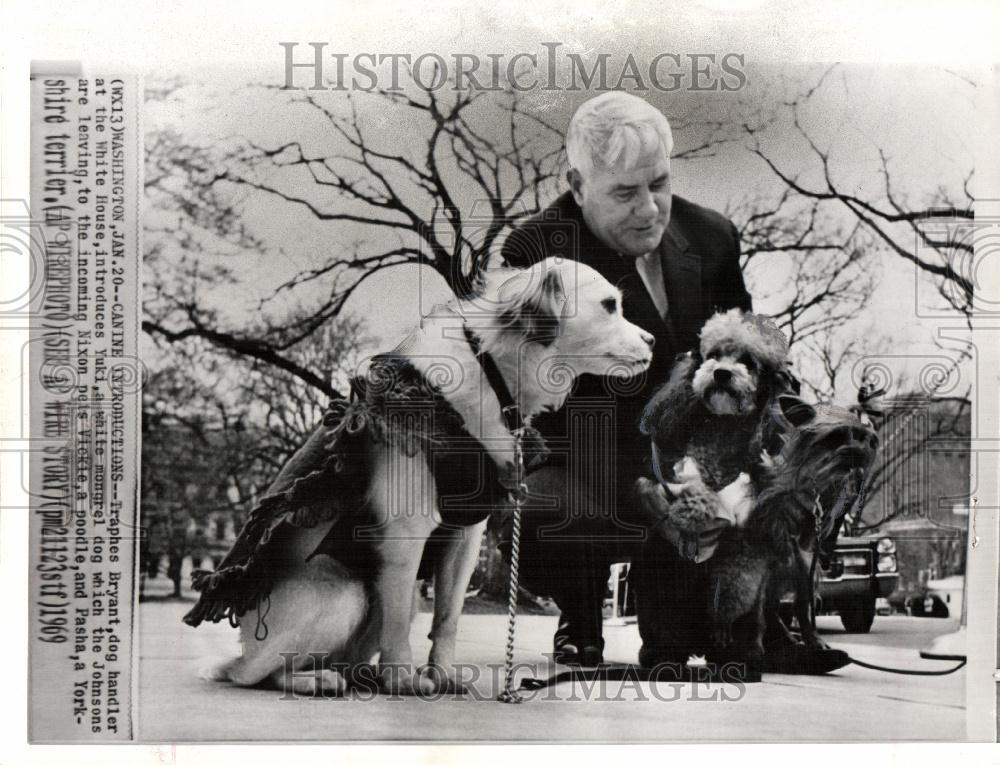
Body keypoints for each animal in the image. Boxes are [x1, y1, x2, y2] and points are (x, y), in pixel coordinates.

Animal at [188, 256, 656, 692]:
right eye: (610, 305)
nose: (653, 339)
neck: (492, 372)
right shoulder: (406, 533)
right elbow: (398, 631)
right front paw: (403, 679)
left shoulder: (464, 535)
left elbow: (448, 618)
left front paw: (442, 674)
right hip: (346, 592)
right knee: (256, 674)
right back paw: (317, 679)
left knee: (339, 659)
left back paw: (355, 675)